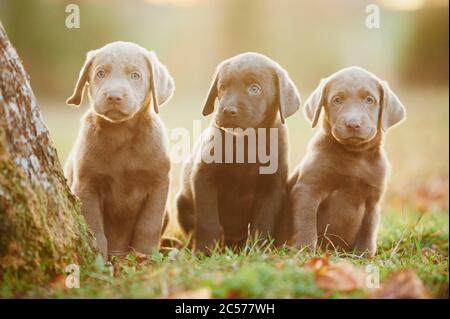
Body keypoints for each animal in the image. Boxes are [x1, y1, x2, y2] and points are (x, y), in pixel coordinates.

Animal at [65, 41, 174, 258]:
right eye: (100, 73)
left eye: (135, 75)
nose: (114, 96)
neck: (121, 134)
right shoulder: (86, 185)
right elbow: (94, 226)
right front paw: (99, 258)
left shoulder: (159, 183)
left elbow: (149, 225)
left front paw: (144, 256)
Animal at [178, 52, 300, 252]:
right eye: (222, 87)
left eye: (254, 88)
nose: (228, 111)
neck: (246, 141)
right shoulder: (204, 179)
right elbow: (208, 221)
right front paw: (204, 251)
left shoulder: (272, 188)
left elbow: (262, 224)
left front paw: (258, 251)